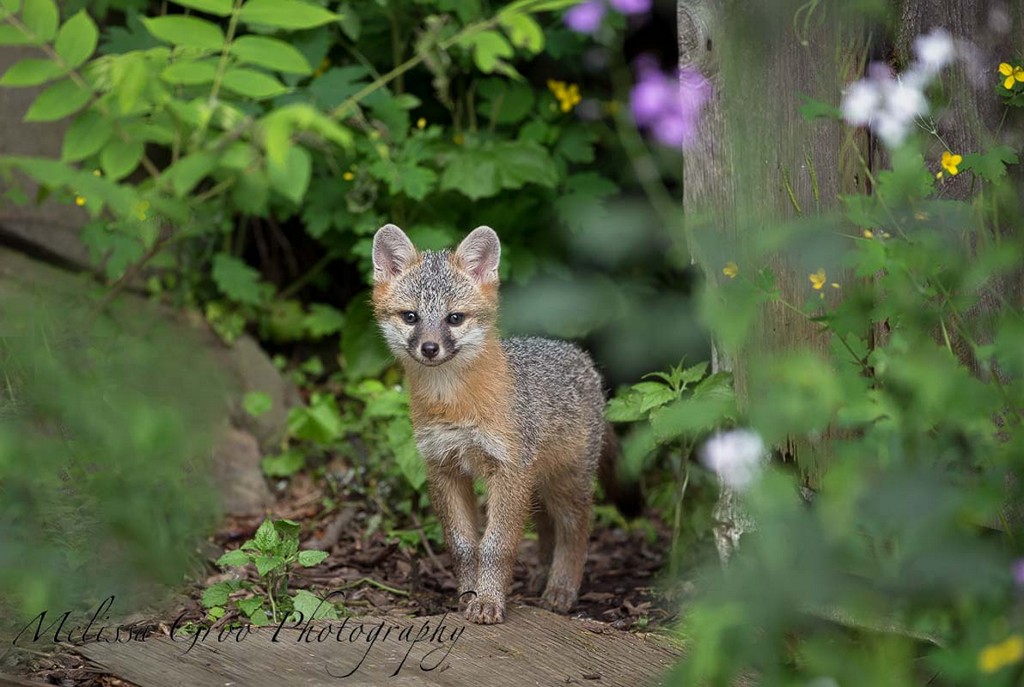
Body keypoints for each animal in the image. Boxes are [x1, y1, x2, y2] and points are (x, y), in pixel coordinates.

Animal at [372, 224, 618, 622]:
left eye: (454, 318)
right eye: (410, 317)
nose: (429, 348)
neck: (454, 406)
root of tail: (581, 356)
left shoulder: (507, 469)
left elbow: (496, 544)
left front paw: (488, 601)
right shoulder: (443, 467)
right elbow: (462, 545)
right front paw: (468, 596)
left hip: (564, 482)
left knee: (575, 526)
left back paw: (561, 588)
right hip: (537, 482)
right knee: (545, 525)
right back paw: (541, 575)